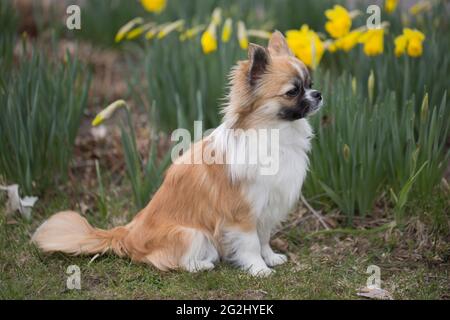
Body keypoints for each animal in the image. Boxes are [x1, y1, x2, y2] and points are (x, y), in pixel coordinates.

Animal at [31, 31, 322, 276]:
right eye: (293, 91)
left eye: (310, 83)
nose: (318, 93)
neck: (276, 135)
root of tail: (127, 233)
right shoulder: (242, 214)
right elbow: (250, 245)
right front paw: (259, 269)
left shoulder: (266, 208)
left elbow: (263, 239)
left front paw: (270, 258)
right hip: (192, 234)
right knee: (172, 262)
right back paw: (203, 264)